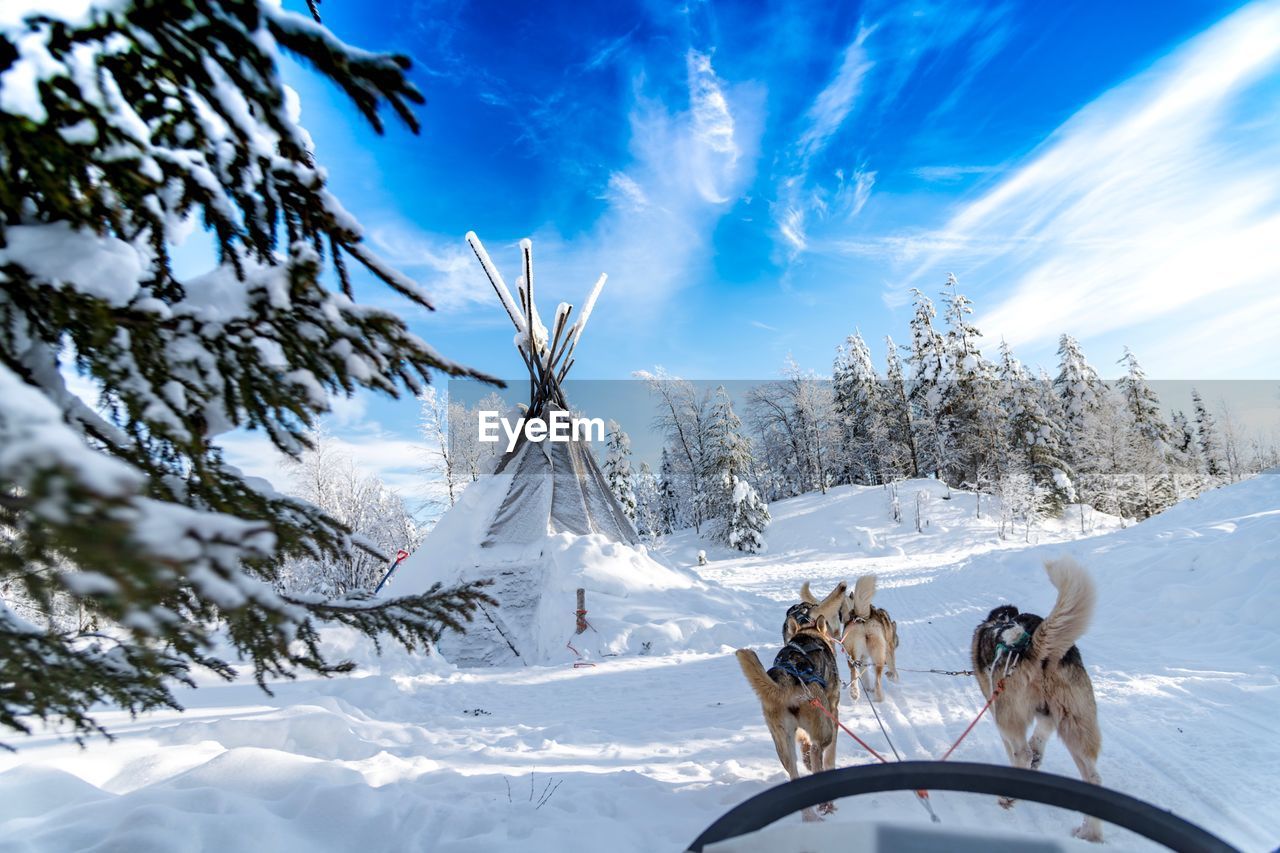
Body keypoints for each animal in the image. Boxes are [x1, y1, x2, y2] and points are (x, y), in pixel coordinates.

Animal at [737, 612, 844, 819]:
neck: (808, 635)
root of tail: (786, 681)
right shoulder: (833, 712)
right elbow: (830, 756)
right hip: (824, 726)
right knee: (817, 751)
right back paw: (825, 802)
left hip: (782, 743)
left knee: (795, 771)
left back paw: (810, 817)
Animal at [967, 555, 1100, 840]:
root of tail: (1033, 646)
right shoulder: (1047, 715)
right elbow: (1039, 739)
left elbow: (1016, 750)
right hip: (1076, 723)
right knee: (1093, 778)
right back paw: (1090, 833)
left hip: (1008, 715)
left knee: (1022, 753)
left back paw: (1009, 795)